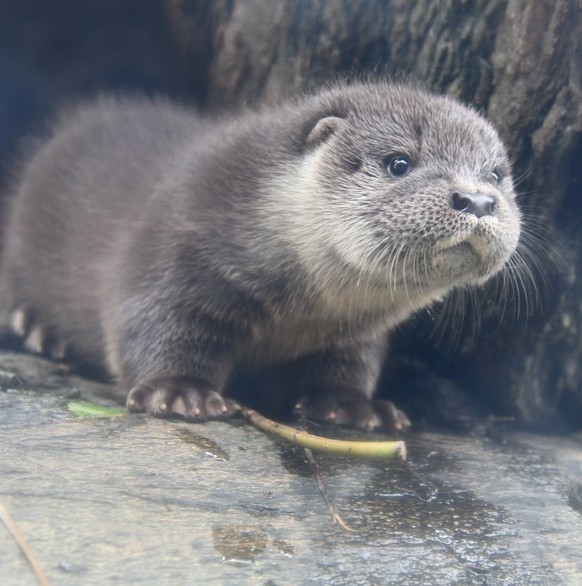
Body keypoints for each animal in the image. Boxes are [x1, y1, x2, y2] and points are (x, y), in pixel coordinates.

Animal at [0, 82, 520, 428]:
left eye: (496, 174)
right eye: (399, 163)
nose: (477, 200)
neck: (297, 312)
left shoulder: (353, 330)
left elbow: (353, 361)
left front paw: (348, 404)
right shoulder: (171, 245)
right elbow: (151, 325)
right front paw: (180, 392)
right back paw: (41, 328)